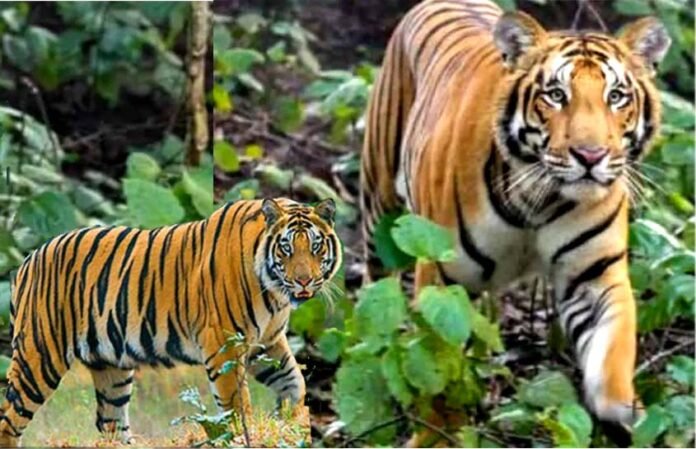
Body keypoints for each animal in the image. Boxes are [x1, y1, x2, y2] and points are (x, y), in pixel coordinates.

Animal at [0, 197, 342, 447]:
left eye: (315, 246)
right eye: (286, 248)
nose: (303, 281)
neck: (274, 292)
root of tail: (27, 262)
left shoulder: (266, 343)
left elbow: (293, 382)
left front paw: (290, 419)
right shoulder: (224, 344)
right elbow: (236, 406)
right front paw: (243, 437)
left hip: (111, 367)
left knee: (109, 421)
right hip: (39, 359)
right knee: (9, 419)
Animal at [359, 0, 670, 443]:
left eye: (616, 96)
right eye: (556, 95)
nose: (590, 156)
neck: (539, 200)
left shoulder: (594, 276)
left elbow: (612, 351)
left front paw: (625, 414)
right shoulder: (439, 270)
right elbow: (437, 360)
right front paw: (439, 435)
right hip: (379, 203)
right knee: (371, 290)